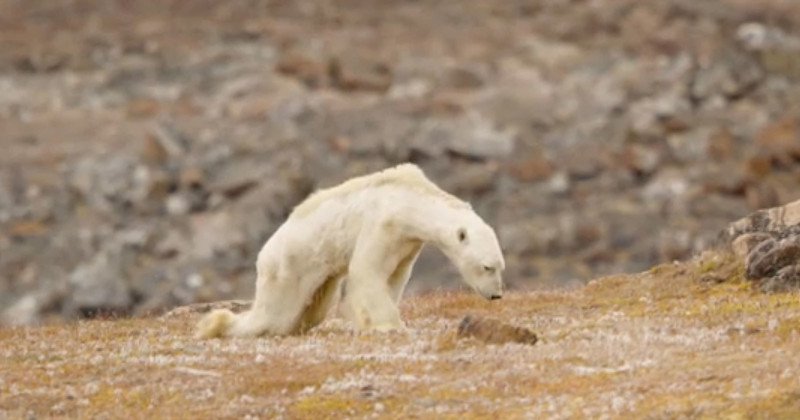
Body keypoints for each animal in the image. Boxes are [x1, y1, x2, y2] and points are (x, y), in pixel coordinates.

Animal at [195, 162, 506, 340]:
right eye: (487, 266)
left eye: (500, 266)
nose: (496, 295)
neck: (409, 200)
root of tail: (264, 254)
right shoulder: (383, 224)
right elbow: (367, 271)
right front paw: (390, 326)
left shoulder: (407, 242)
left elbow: (394, 277)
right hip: (289, 266)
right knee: (274, 314)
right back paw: (217, 325)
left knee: (311, 309)